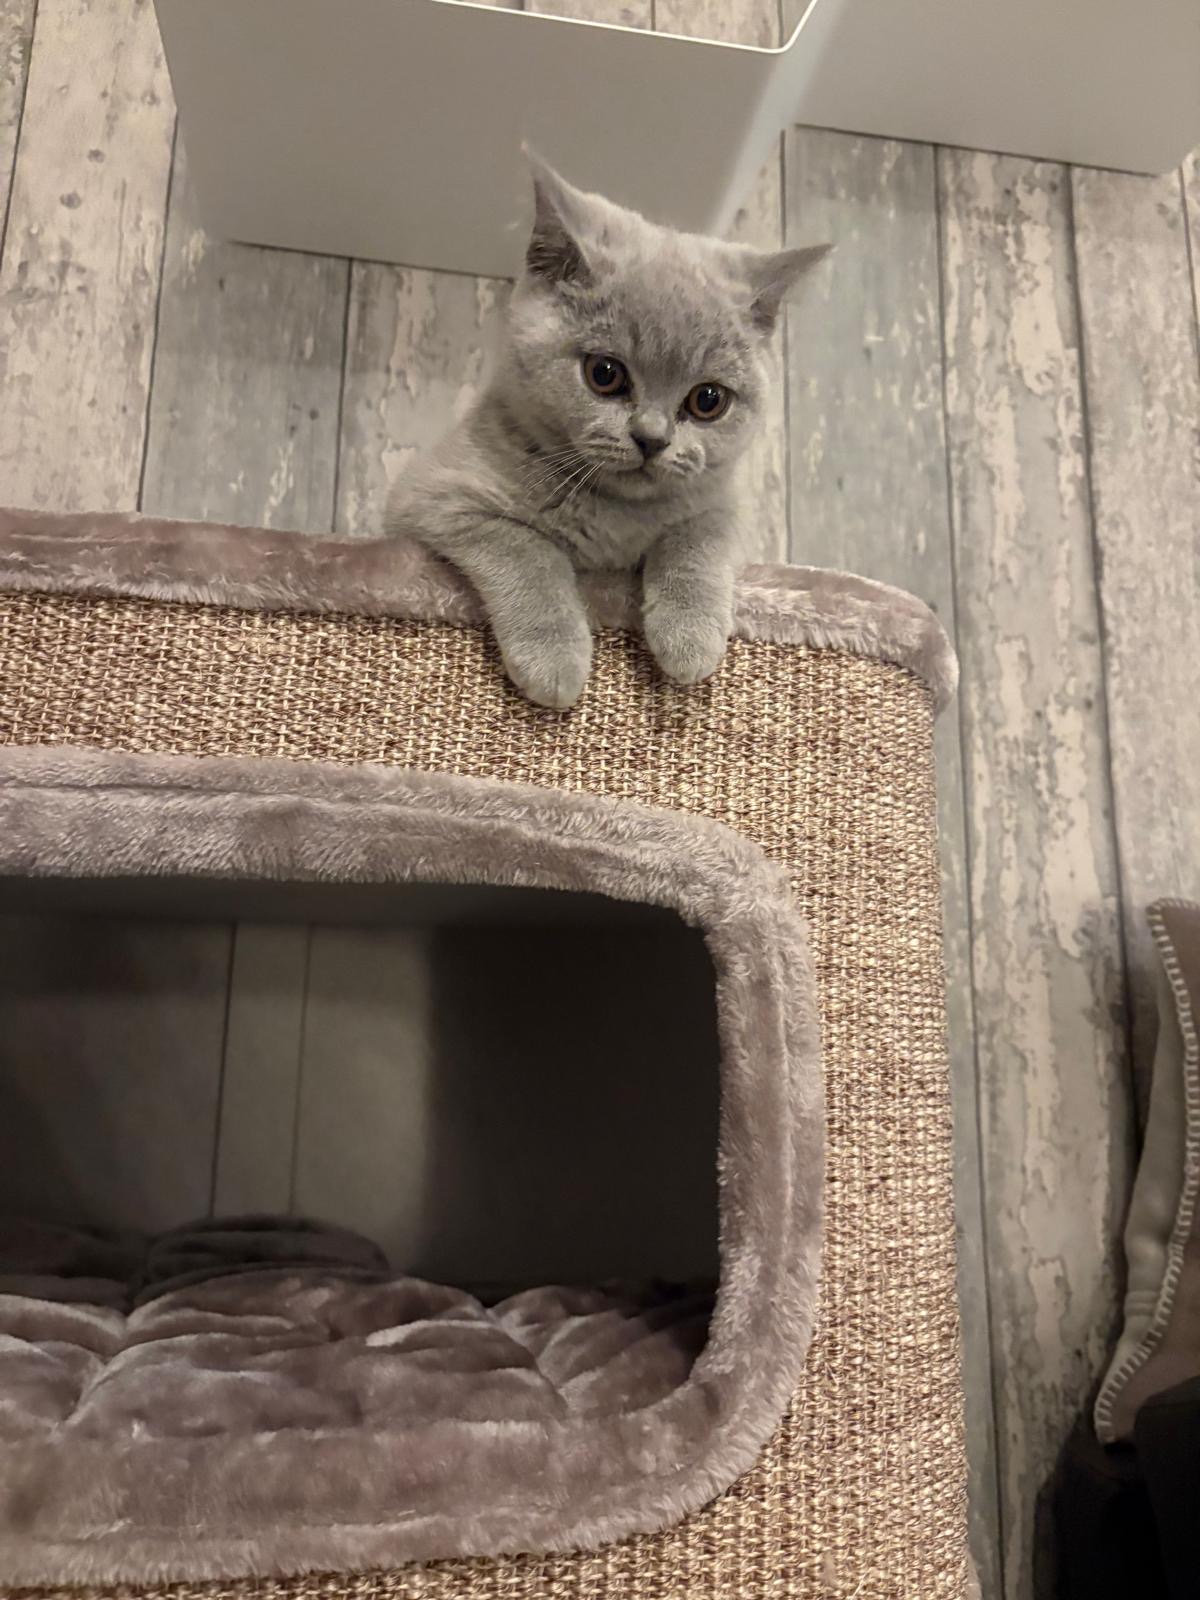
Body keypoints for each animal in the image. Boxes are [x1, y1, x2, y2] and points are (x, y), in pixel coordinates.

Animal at [386, 154, 829, 709]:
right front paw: (554, 657)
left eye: (708, 400)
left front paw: (690, 635)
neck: (615, 515)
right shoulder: (432, 497)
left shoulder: (724, 502)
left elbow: (698, 536)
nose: (652, 438)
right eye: (605, 374)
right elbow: (525, 546)